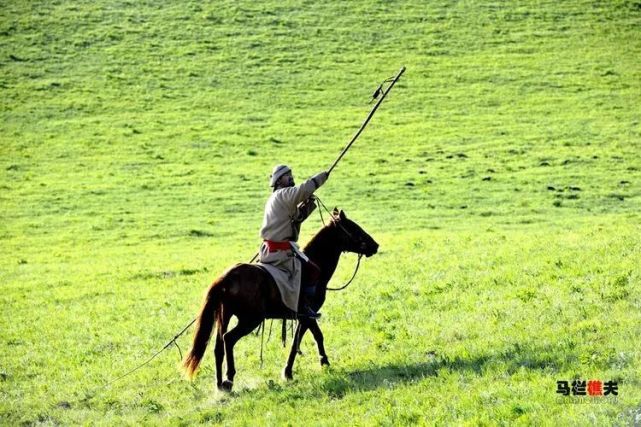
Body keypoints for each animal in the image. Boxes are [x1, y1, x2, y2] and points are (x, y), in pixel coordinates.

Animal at [182, 209, 378, 392]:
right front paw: (292, 371)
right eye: (353, 228)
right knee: (228, 339)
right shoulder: (307, 316)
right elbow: (301, 340)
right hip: (250, 320)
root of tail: (226, 278)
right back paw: (229, 379)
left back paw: (219, 384)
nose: (375, 245)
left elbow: (313, 337)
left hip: (225, 317)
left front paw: (320, 362)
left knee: (218, 346)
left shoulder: (305, 317)